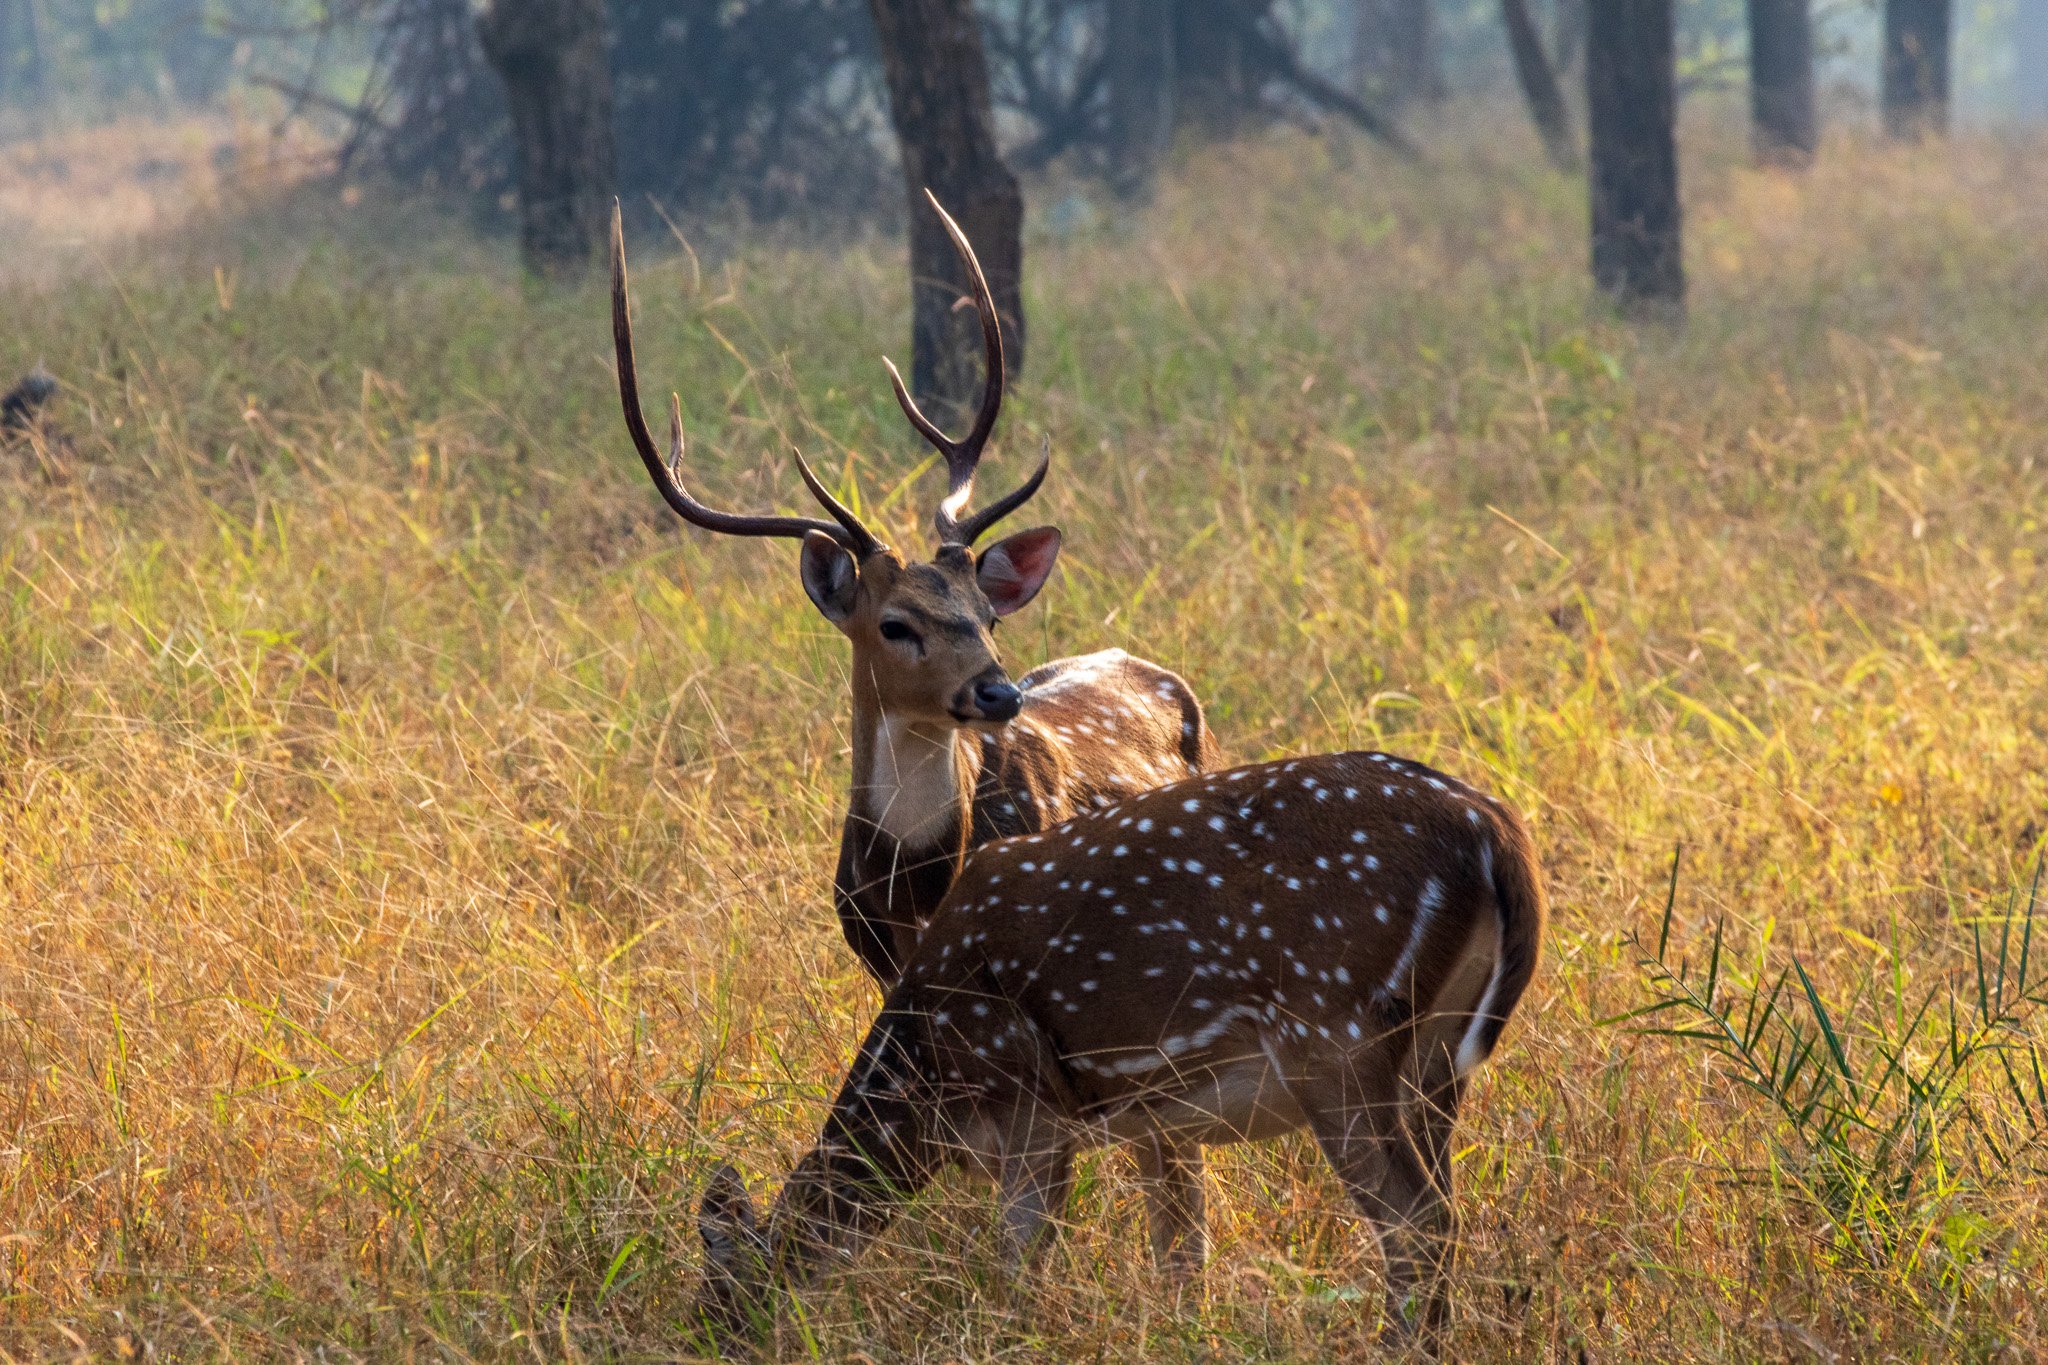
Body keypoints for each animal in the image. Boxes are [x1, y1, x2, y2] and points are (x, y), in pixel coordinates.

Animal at [696, 757, 1540, 1358]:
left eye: (721, 1294)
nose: (708, 1339)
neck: (927, 1087)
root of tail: (1496, 832)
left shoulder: (1029, 1104)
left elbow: (1017, 1262)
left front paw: (1013, 1339)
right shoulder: (1148, 1119)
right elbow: (1180, 1248)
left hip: (1338, 1031)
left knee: (1418, 1217)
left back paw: (1393, 1347)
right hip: (1435, 1059)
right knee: (1443, 1207)